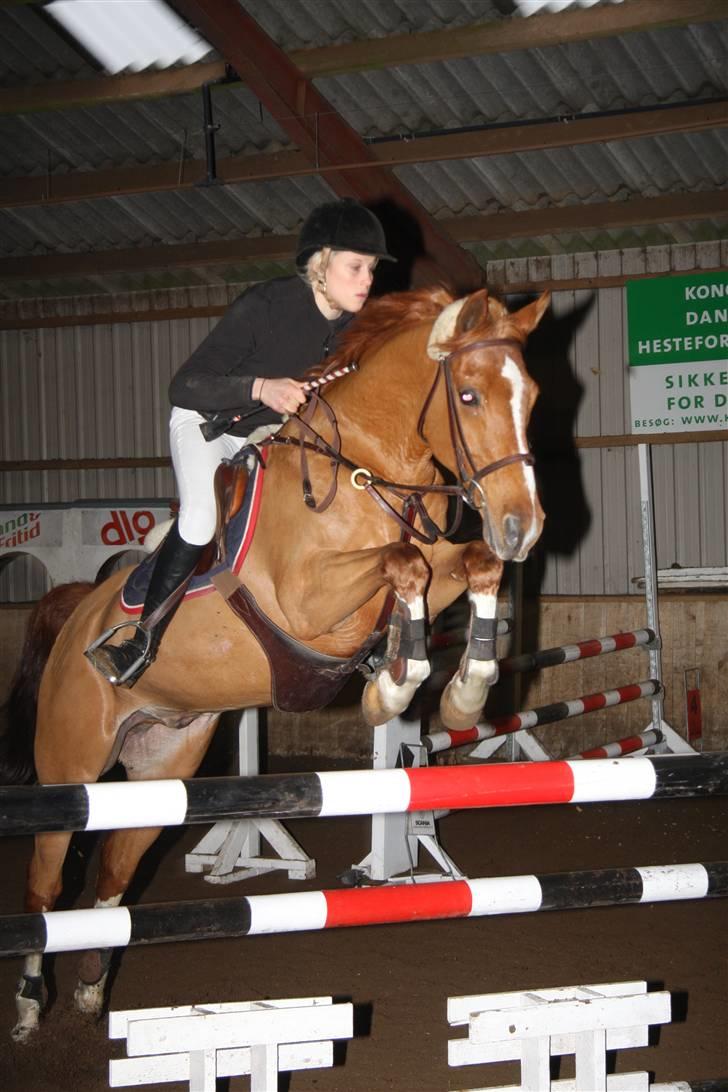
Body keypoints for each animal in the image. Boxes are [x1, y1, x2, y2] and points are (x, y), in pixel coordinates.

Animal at [0, 277, 545, 1035]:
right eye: (468, 396)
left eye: (534, 395)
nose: (524, 527)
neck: (368, 467)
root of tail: (77, 607)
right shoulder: (309, 603)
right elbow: (402, 563)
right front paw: (392, 689)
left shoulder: (433, 566)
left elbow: (470, 565)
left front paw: (461, 692)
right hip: (70, 768)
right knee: (46, 885)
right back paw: (29, 1003)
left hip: (160, 769)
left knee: (112, 874)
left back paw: (89, 988)